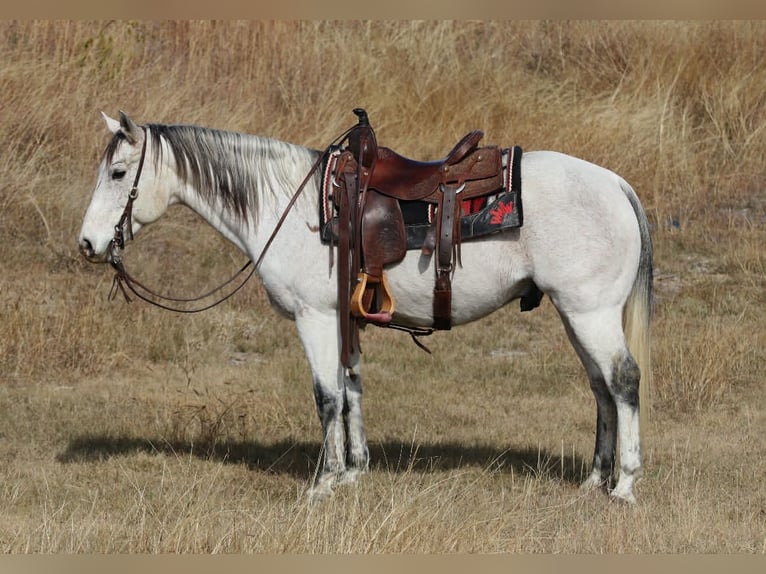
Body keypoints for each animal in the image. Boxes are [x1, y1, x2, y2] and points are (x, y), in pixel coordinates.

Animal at [78, 111, 653, 504]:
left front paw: (325, 481)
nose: (88, 244)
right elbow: (352, 387)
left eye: (119, 173)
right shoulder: (342, 319)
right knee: (601, 388)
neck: (289, 207)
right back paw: (592, 481)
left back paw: (624, 485)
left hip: (591, 313)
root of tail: (616, 185)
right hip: (577, 314)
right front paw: (355, 470)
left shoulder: (315, 317)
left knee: (623, 380)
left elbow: (327, 396)